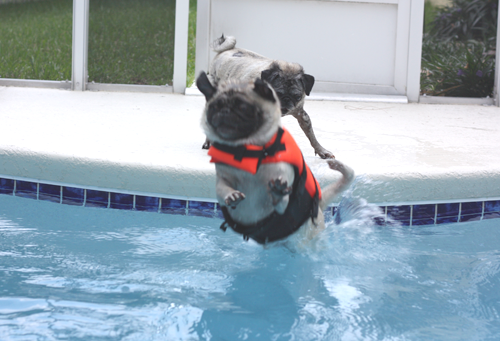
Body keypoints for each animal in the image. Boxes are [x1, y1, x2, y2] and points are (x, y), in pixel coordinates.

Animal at [196, 71, 356, 243]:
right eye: (214, 107)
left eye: (243, 107)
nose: (225, 111)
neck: (247, 149)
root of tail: (318, 205)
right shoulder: (223, 179)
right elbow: (223, 188)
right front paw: (231, 195)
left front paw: (278, 192)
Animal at [203, 33, 336, 159]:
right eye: (276, 93)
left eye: (297, 96)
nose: (285, 100)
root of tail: (225, 51)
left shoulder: (302, 116)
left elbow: (311, 136)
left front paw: (321, 150)